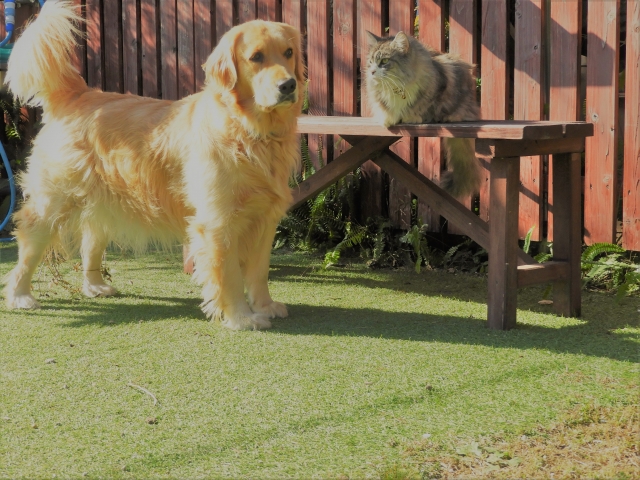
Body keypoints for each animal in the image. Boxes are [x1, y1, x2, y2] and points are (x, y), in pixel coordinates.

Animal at [3, 1, 305, 330]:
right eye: (256, 57)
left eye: (289, 52)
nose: (289, 85)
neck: (248, 130)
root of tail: (78, 94)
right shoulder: (218, 222)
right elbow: (230, 277)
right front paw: (240, 317)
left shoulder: (266, 218)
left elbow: (259, 271)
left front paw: (265, 306)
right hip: (52, 203)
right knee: (28, 246)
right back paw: (20, 295)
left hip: (102, 202)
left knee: (90, 242)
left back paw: (95, 286)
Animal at [364, 31, 482, 198]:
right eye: (370, 62)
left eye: (384, 61)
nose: (372, 72)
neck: (396, 85)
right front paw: (387, 119)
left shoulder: (438, 90)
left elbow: (424, 108)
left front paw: (412, 117)